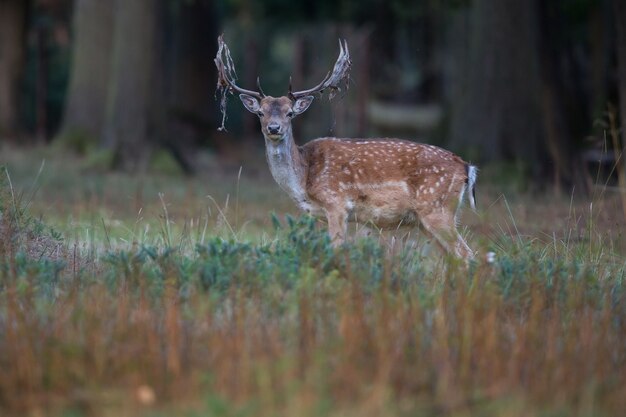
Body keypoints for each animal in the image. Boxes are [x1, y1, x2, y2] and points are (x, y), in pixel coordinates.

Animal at [212, 35, 476, 258]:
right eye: (260, 113)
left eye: (289, 113)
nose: (274, 128)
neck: (304, 179)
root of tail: (466, 167)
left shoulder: (337, 203)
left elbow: (336, 249)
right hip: (427, 219)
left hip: (436, 207)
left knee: (467, 256)